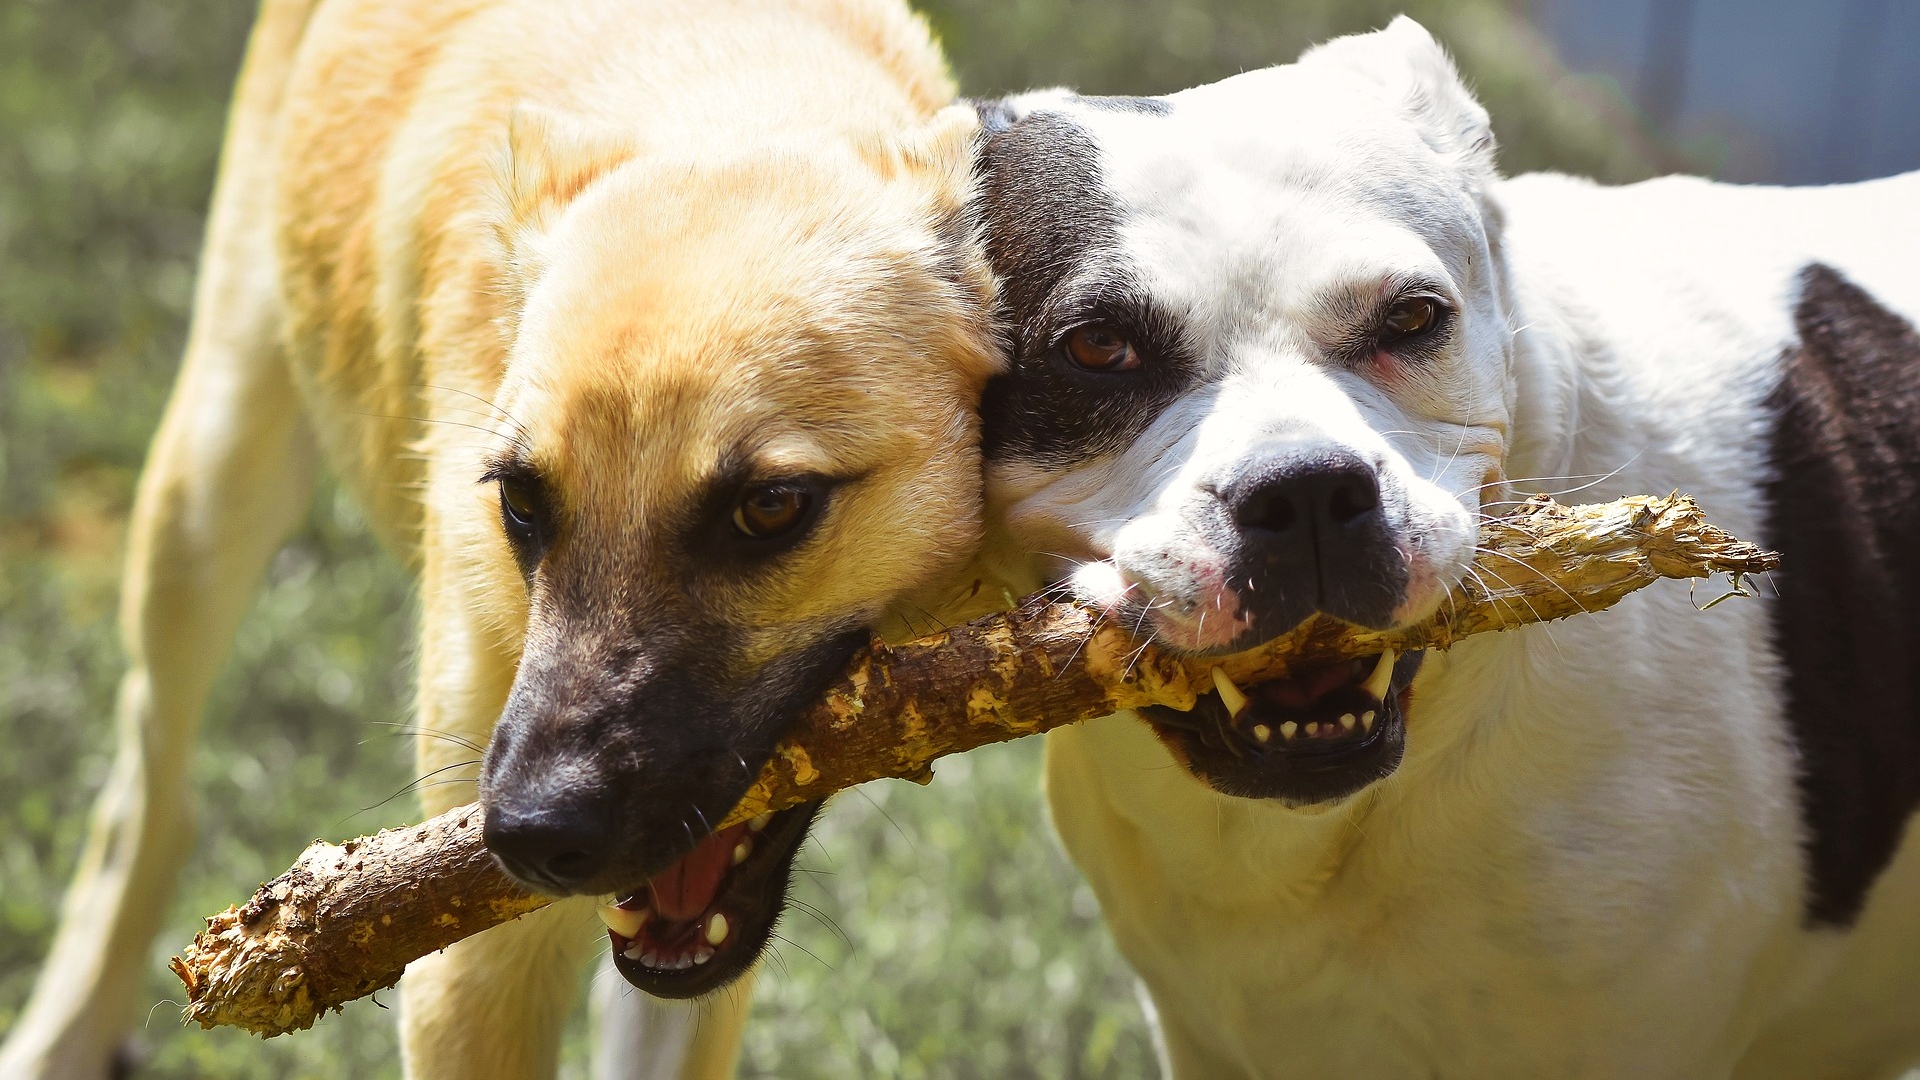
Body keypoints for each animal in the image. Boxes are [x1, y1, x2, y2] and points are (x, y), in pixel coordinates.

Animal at [7, 2, 1006, 1076]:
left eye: (772, 507)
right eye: (521, 499)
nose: (529, 834)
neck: (732, 106)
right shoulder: (472, 963)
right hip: (209, 484)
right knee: (146, 789)